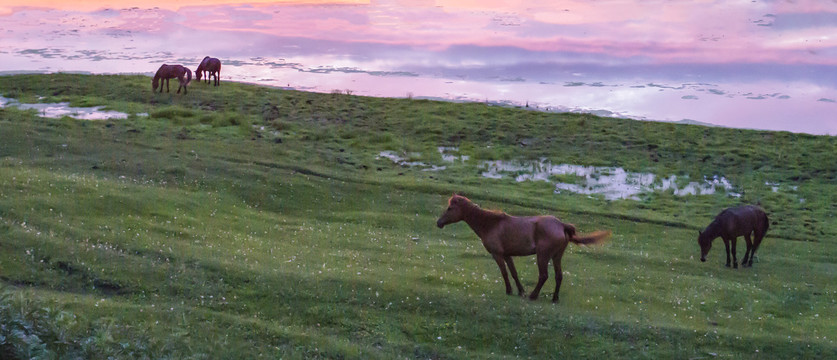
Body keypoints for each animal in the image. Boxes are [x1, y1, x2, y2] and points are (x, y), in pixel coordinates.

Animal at [434, 195, 612, 302]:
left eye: (450, 208)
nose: (438, 223)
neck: (491, 224)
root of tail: (562, 225)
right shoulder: (507, 255)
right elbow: (513, 273)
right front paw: (520, 291)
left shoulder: (497, 254)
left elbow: (504, 273)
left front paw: (509, 290)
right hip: (556, 256)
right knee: (559, 276)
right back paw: (554, 298)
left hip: (542, 256)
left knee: (544, 276)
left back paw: (534, 296)